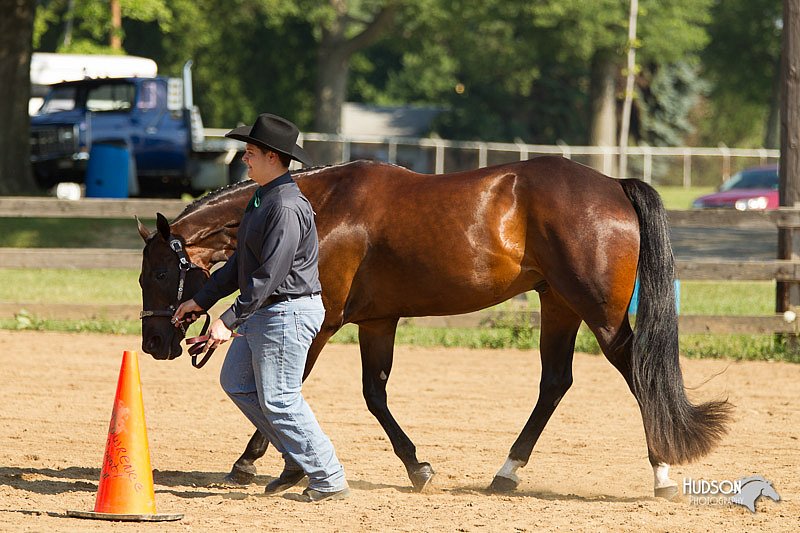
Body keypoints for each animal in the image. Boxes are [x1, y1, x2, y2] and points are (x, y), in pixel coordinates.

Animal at [136, 156, 732, 496]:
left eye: (161, 271)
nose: (155, 342)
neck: (323, 207)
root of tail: (612, 184)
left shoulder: (323, 322)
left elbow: (285, 387)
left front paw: (270, 467)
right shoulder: (377, 321)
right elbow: (374, 395)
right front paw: (416, 468)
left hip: (600, 314)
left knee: (636, 373)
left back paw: (661, 474)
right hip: (559, 304)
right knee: (554, 382)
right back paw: (506, 473)